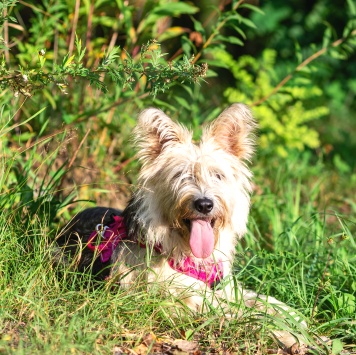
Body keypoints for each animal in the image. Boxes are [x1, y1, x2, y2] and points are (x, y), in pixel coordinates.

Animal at [56, 103, 298, 318]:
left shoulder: (226, 288)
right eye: (180, 175)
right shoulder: (183, 300)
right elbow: (243, 314)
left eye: (218, 175)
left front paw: (291, 315)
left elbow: (259, 300)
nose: (204, 204)